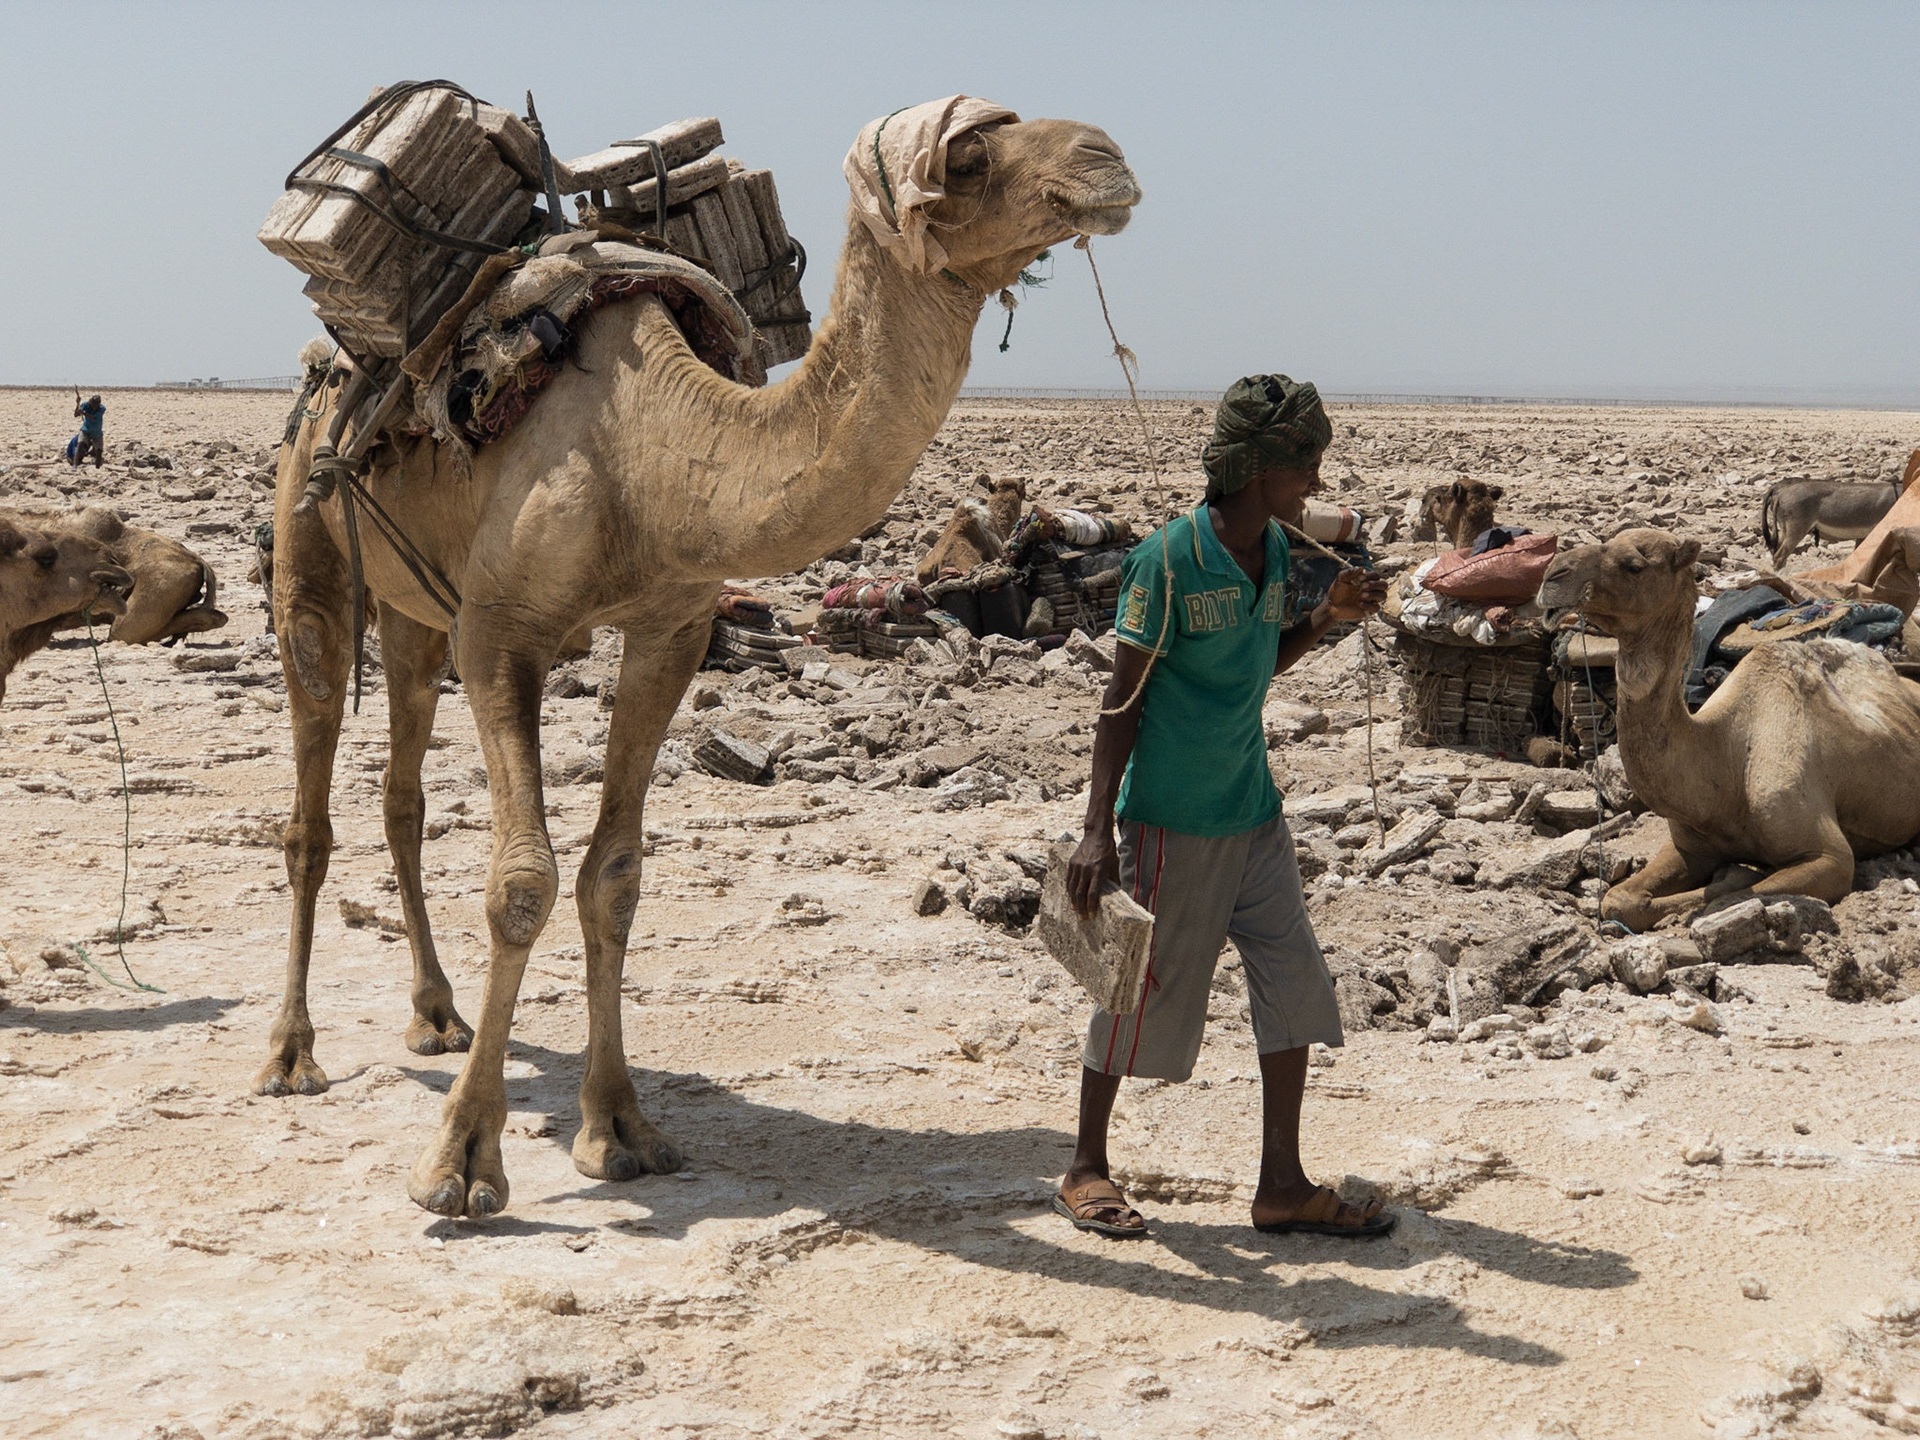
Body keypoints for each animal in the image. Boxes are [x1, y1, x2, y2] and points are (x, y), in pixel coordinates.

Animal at [258, 103, 1140, 1219]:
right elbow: (521, 882)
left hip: (414, 607)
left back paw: (435, 1014)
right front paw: (460, 1162)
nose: (1107, 157)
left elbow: (615, 874)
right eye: (972, 151)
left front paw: (618, 1130)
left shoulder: (669, 631)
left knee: (402, 792)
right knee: (311, 795)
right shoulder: (501, 634)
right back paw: (290, 1054)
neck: (650, 452)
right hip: (313, 540)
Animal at [1539, 528, 1920, 929]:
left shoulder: (1829, 858)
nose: (1553, 575)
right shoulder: (1689, 845)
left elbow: (1722, 899)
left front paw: (1734, 875)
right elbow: (1618, 899)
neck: (1723, 758)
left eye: (1634, 565)